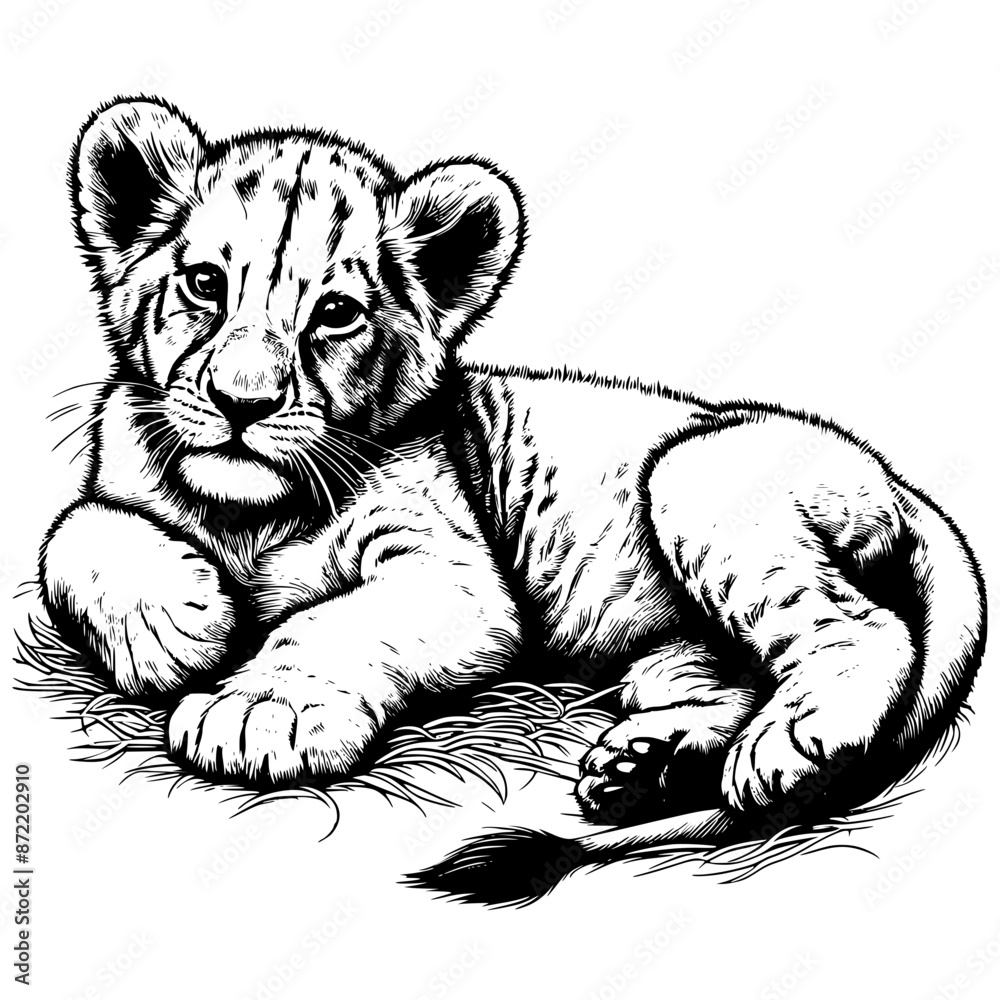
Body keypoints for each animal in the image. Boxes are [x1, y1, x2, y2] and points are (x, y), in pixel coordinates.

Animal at [40, 97, 985, 902]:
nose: (244, 404)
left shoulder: (456, 577)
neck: (250, 513)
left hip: (696, 475)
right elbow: (77, 533)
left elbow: (331, 622)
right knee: (730, 675)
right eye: (203, 284)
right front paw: (177, 625)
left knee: (859, 626)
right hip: (672, 649)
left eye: (336, 312)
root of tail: (895, 483)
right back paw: (647, 764)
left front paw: (264, 712)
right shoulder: (118, 474)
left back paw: (787, 745)